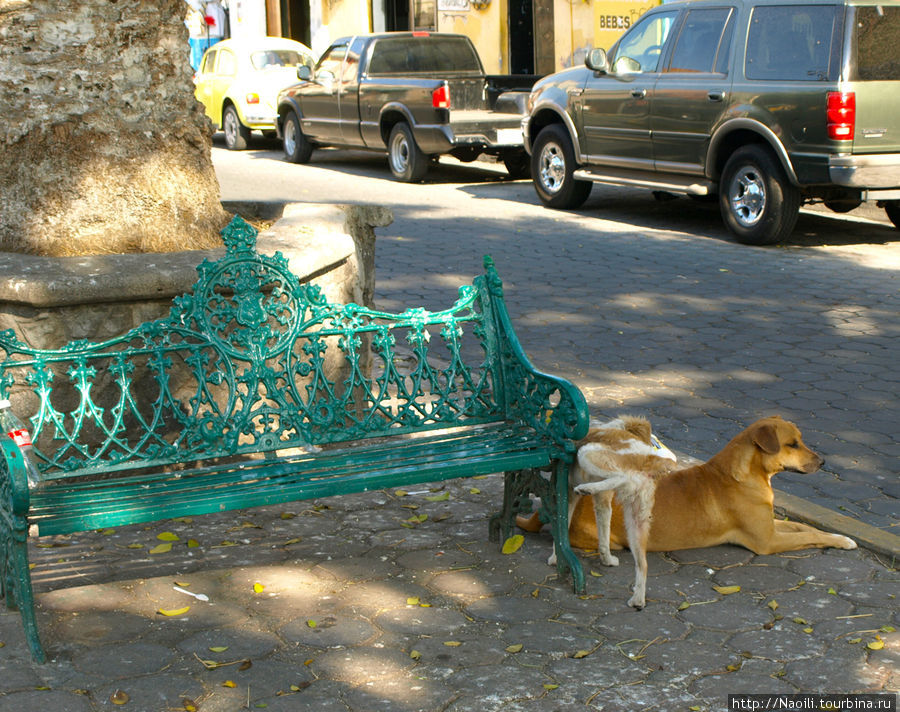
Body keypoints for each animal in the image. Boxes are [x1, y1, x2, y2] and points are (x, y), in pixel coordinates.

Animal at [516, 414, 856, 608]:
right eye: (793, 444)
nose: (824, 462)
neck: (742, 473)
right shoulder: (767, 542)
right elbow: (808, 536)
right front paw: (842, 541)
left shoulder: (771, 527)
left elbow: (808, 529)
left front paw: (841, 537)